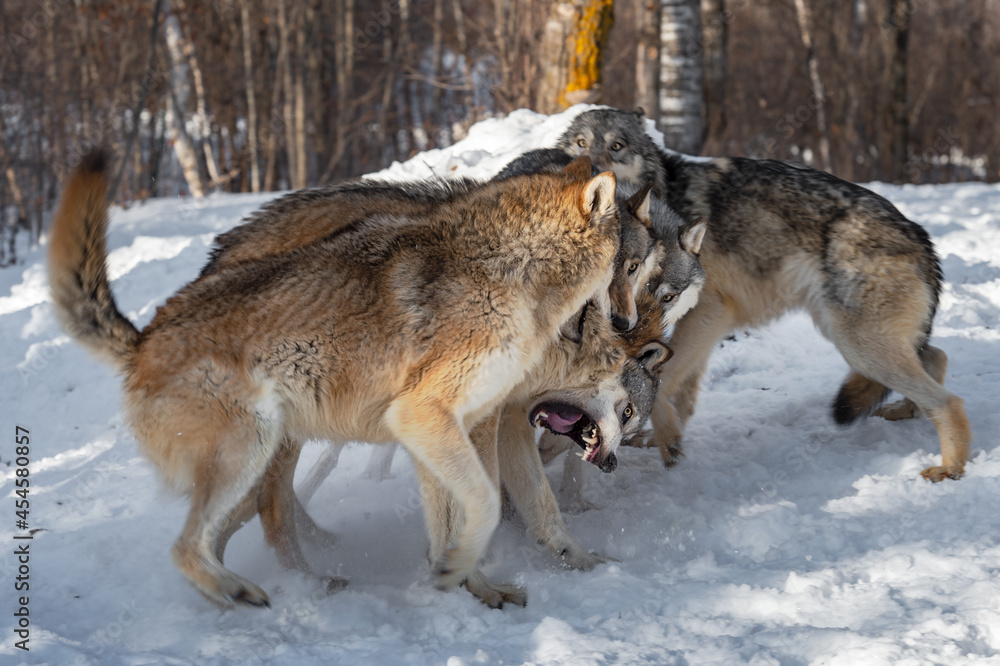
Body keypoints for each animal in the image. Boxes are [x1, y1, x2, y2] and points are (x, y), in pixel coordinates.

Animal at [49, 151, 623, 608]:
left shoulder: (451, 431)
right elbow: (483, 504)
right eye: (622, 259)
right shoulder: (421, 416)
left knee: (228, 534)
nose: (622, 323)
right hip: (251, 449)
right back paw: (253, 591)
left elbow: (455, 525)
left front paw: (468, 585)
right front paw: (459, 574)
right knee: (194, 544)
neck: (512, 274)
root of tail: (143, 340)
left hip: (256, 459)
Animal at [558, 107, 971, 481]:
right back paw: (906, 412)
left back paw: (949, 468)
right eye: (581, 144)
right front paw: (661, 437)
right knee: (937, 356)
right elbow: (680, 386)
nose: (594, 171)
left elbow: (664, 379)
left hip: (857, 344)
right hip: (857, 338)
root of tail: (920, 235)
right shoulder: (704, 321)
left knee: (948, 399)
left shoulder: (708, 312)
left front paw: (664, 438)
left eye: (617, 146)